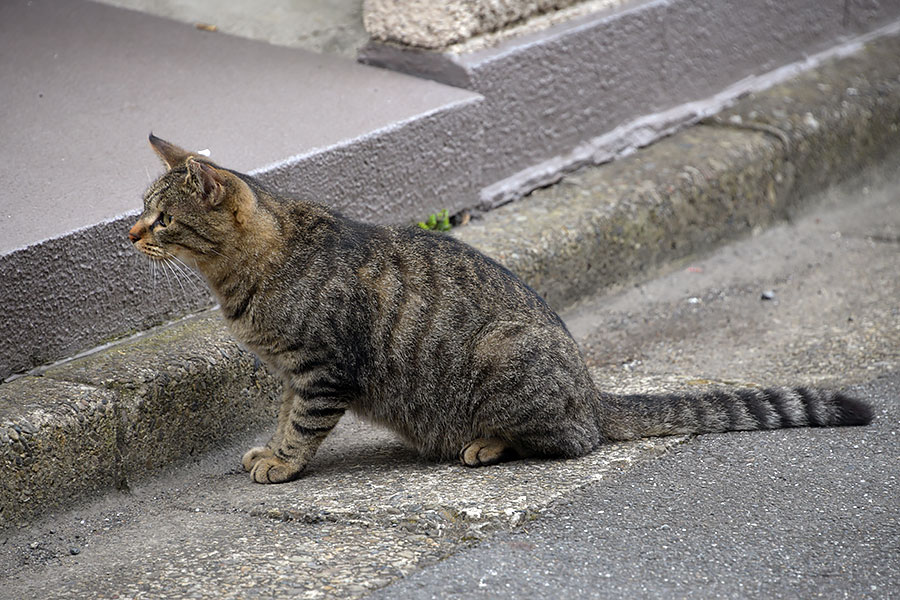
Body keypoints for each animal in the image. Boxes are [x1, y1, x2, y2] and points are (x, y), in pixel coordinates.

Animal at [126, 135, 872, 482]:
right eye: (142, 210)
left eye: (164, 218)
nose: (128, 234)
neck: (243, 278)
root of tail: (591, 391)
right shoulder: (291, 371)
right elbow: (284, 415)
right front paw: (272, 449)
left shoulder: (320, 369)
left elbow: (302, 426)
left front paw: (282, 463)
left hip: (506, 362)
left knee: (573, 442)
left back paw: (488, 443)